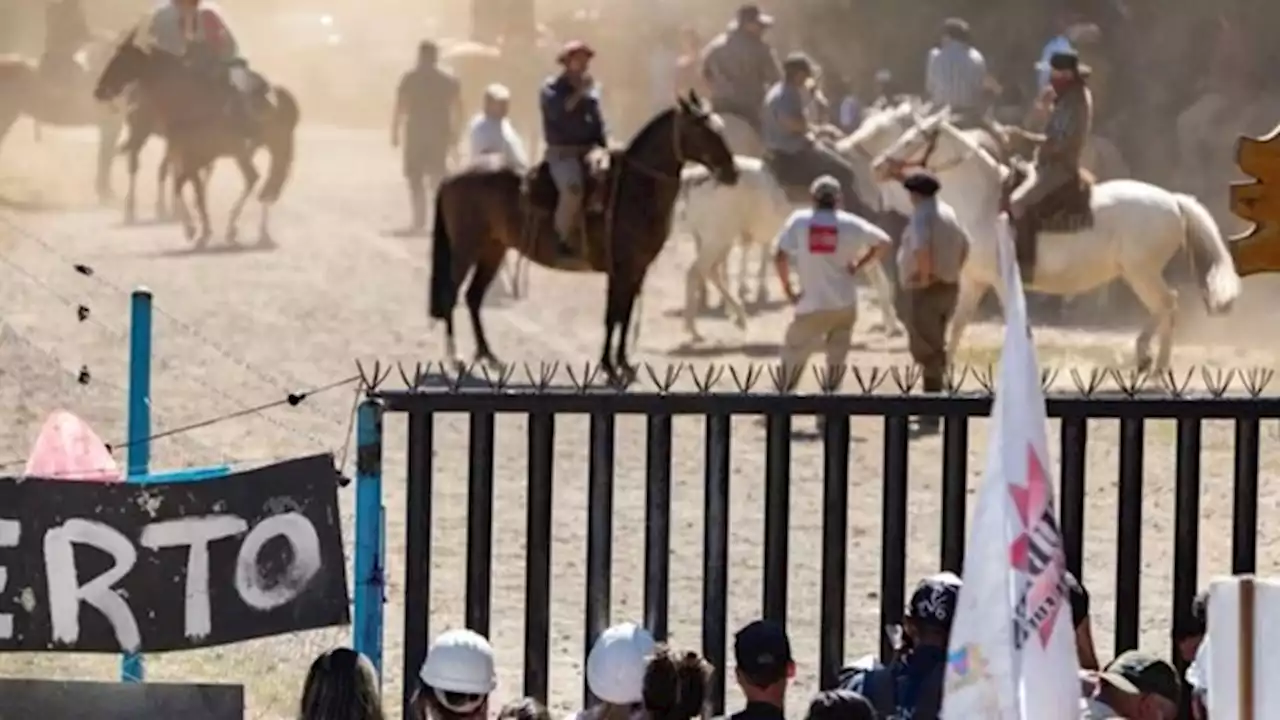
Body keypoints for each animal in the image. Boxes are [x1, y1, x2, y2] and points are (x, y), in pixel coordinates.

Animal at [93, 31, 298, 243]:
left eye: (120, 60)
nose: (99, 90)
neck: (189, 98)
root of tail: (280, 96)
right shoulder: (190, 153)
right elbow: (189, 186)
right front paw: (199, 227)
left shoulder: (194, 153)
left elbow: (188, 186)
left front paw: (194, 228)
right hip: (257, 149)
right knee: (265, 183)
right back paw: (258, 231)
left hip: (255, 150)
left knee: (257, 179)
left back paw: (236, 227)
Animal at [427, 92, 737, 379]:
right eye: (702, 129)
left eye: (720, 127)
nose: (732, 172)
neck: (634, 189)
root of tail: (452, 177)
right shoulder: (621, 269)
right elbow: (612, 316)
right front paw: (609, 366)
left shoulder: (637, 270)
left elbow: (624, 316)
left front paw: (624, 364)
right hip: (465, 250)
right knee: (451, 296)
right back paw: (456, 358)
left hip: (493, 250)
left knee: (473, 297)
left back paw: (489, 356)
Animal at [870, 113, 1239, 368]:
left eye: (912, 140)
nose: (877, 166)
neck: (983, 203)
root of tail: (1173, 201)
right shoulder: (975, 280)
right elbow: (959, 324)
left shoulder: (1001, 280)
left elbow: (1012, 320)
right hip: (1136, 273)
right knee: (1164, 307)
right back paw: (1147, 358)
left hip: (1141, 273)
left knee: (1167, 304)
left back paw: (1155, 364)